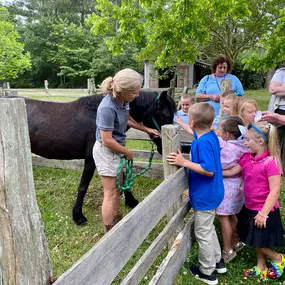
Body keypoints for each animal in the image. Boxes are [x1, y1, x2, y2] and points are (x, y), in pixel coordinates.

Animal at [13, 90, 176, 224]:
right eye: (166, 116)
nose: (163, 148)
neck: (97, 116)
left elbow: (123, 174)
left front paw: (131, 200)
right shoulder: (91, 160)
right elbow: (83, 186)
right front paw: (78, 216)